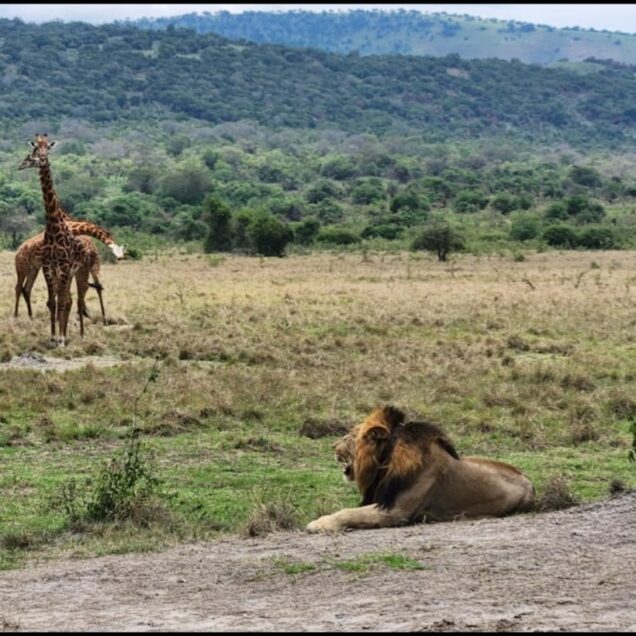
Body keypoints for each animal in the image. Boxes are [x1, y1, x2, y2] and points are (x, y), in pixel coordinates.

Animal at [17, 131, 90, 346]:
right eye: (35, 148)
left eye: (47, 148)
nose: (41, 159)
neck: (53, 226)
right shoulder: (48, 268)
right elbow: (52, 302)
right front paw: (52, 336)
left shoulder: (64, 267)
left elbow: (62, 302)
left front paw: (62, 338)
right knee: (66, 299)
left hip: (77, 271)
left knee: (75, 300)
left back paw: (79, 335)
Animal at [306, 404, 536, 536]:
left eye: (351, 436)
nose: (332, 446)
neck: (384, 464)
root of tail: (529, 481)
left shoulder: (396, 511)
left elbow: (348, 512)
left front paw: (319, 523)